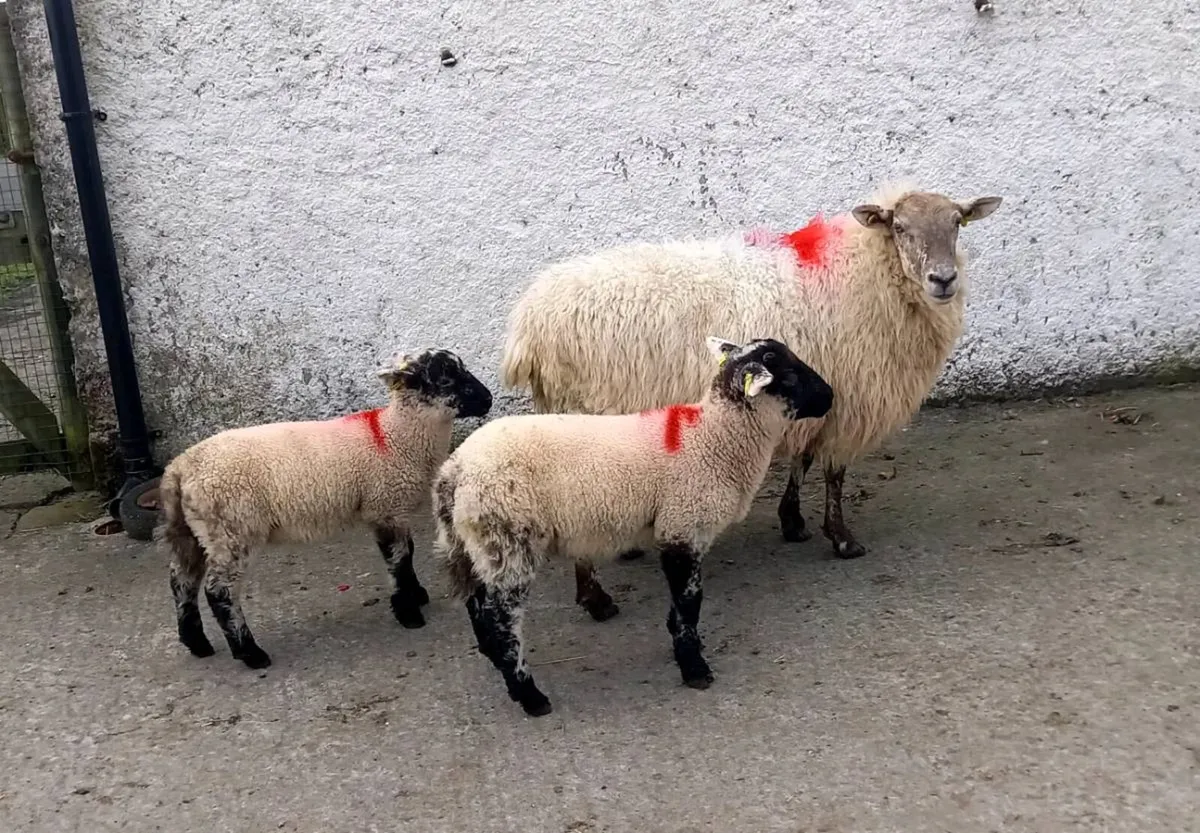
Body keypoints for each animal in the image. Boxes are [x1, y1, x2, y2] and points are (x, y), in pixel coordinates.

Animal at [160, 347, 493, 669]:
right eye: (446, 378)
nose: (488, 399)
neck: (392, 434)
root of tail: (180, 468)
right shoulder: (385, 505)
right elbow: (398, 560)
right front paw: (408, 612)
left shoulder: (392, 509)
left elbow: (407, 553)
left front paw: (417, 595)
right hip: (233, 528)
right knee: (218, 591)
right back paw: (250, 653)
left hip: (195, 531)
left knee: (182, 580)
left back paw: (196, 643)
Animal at [435, 336, 834, 716]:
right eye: (789, 376)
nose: (830, 396)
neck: (713, 438)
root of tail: (454, 471)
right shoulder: (681, 526)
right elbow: (690, 603)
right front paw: (694, 667)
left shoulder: (681, 530)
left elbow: (682, 605)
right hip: (509, 539)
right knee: (504, 622)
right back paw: (530, 696)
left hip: (477, 545)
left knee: (479, 605)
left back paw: (495, 659)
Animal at [499, 183, 1003, 619]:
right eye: (899, 226)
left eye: (957, 223)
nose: (944, 279)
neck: (866, 274)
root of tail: (530, 322)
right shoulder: (847, 402)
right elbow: (834, 473)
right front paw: (841, 538)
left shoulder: (812, 401)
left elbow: (802, 461)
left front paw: (793, 522)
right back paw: (596, 599)